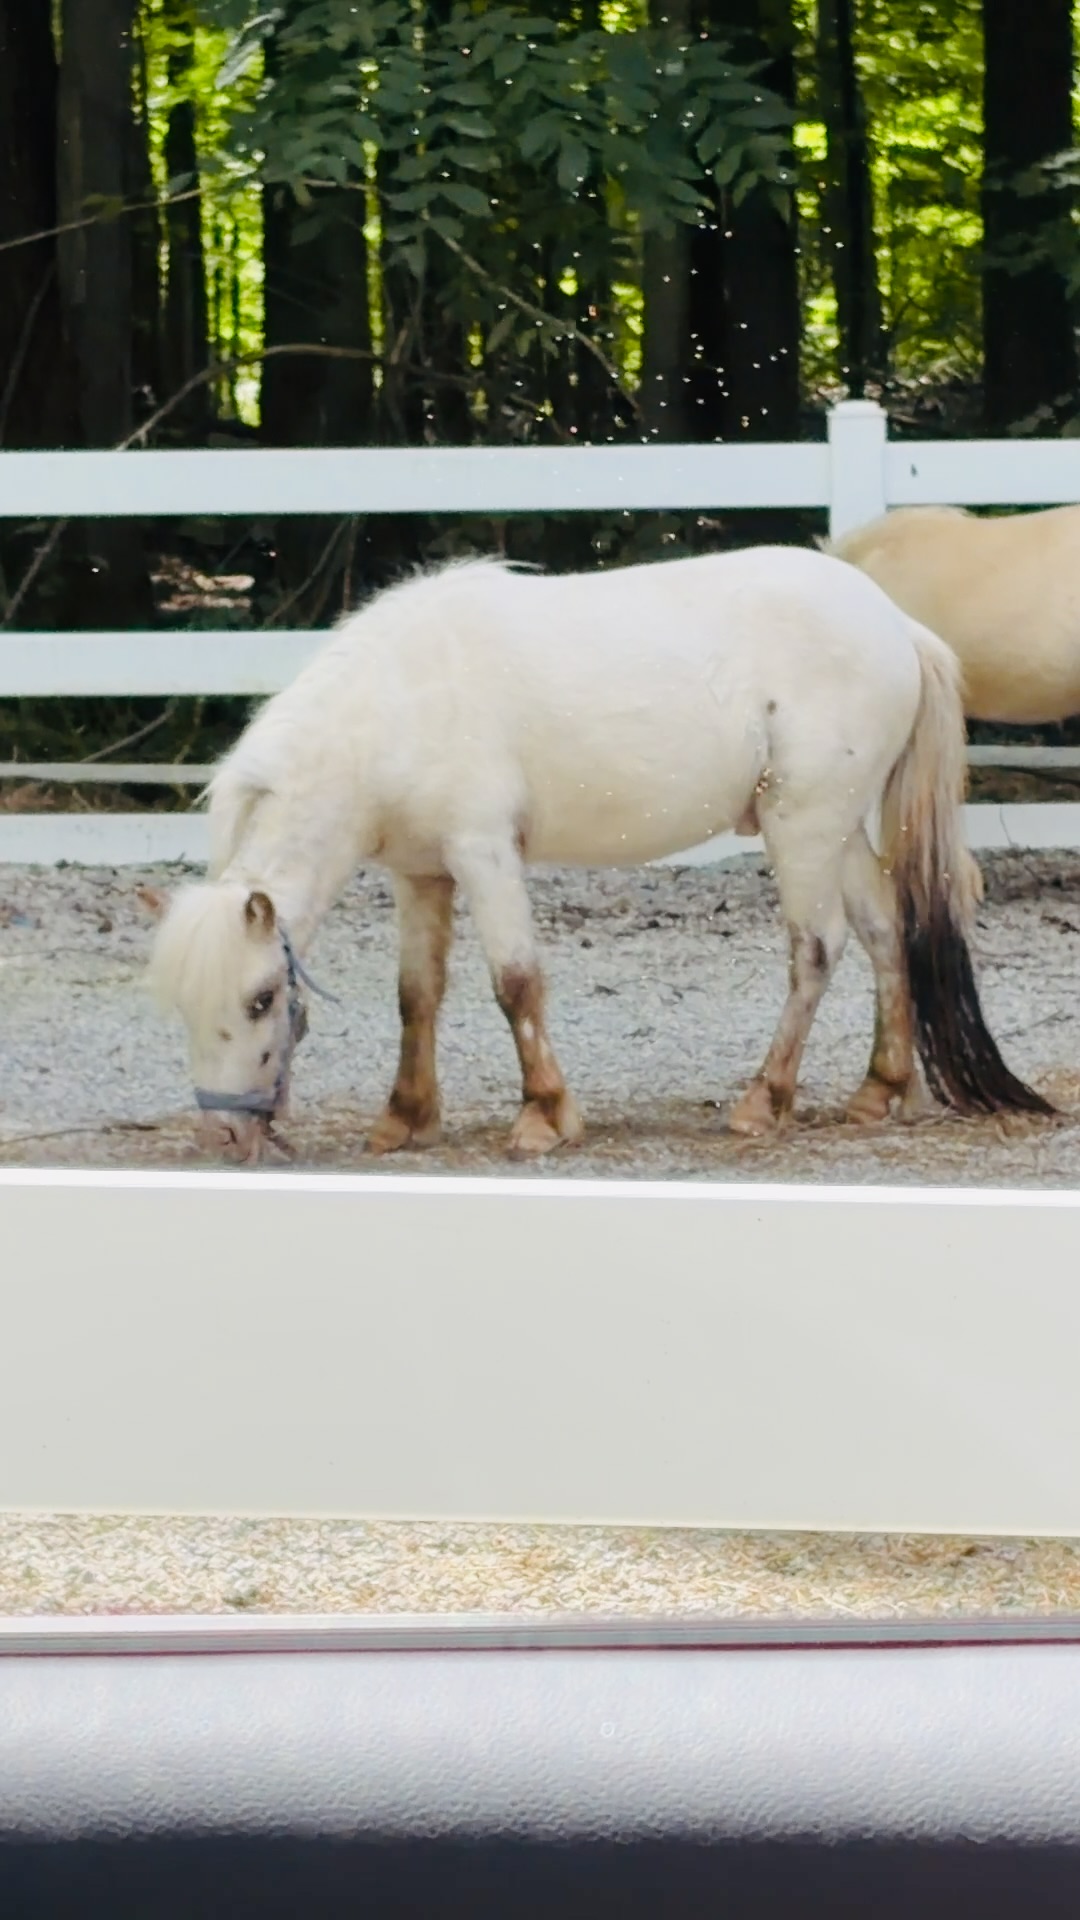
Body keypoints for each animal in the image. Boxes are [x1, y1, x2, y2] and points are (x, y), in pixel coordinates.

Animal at [141, 545, 1052, 1165]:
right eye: (182, 1004)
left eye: (262, 998)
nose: (224, 1130)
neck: (394, 705)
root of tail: (896, 626)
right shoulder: (421, 873)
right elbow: (417, 996)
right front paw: (405, 1117)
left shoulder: (484, 854)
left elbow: (514, 983)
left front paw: (543, 1116)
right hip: (835, 829)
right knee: (884, 934)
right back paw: (880, 1092)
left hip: (802, 827)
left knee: (816, 949)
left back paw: (766, 1100)